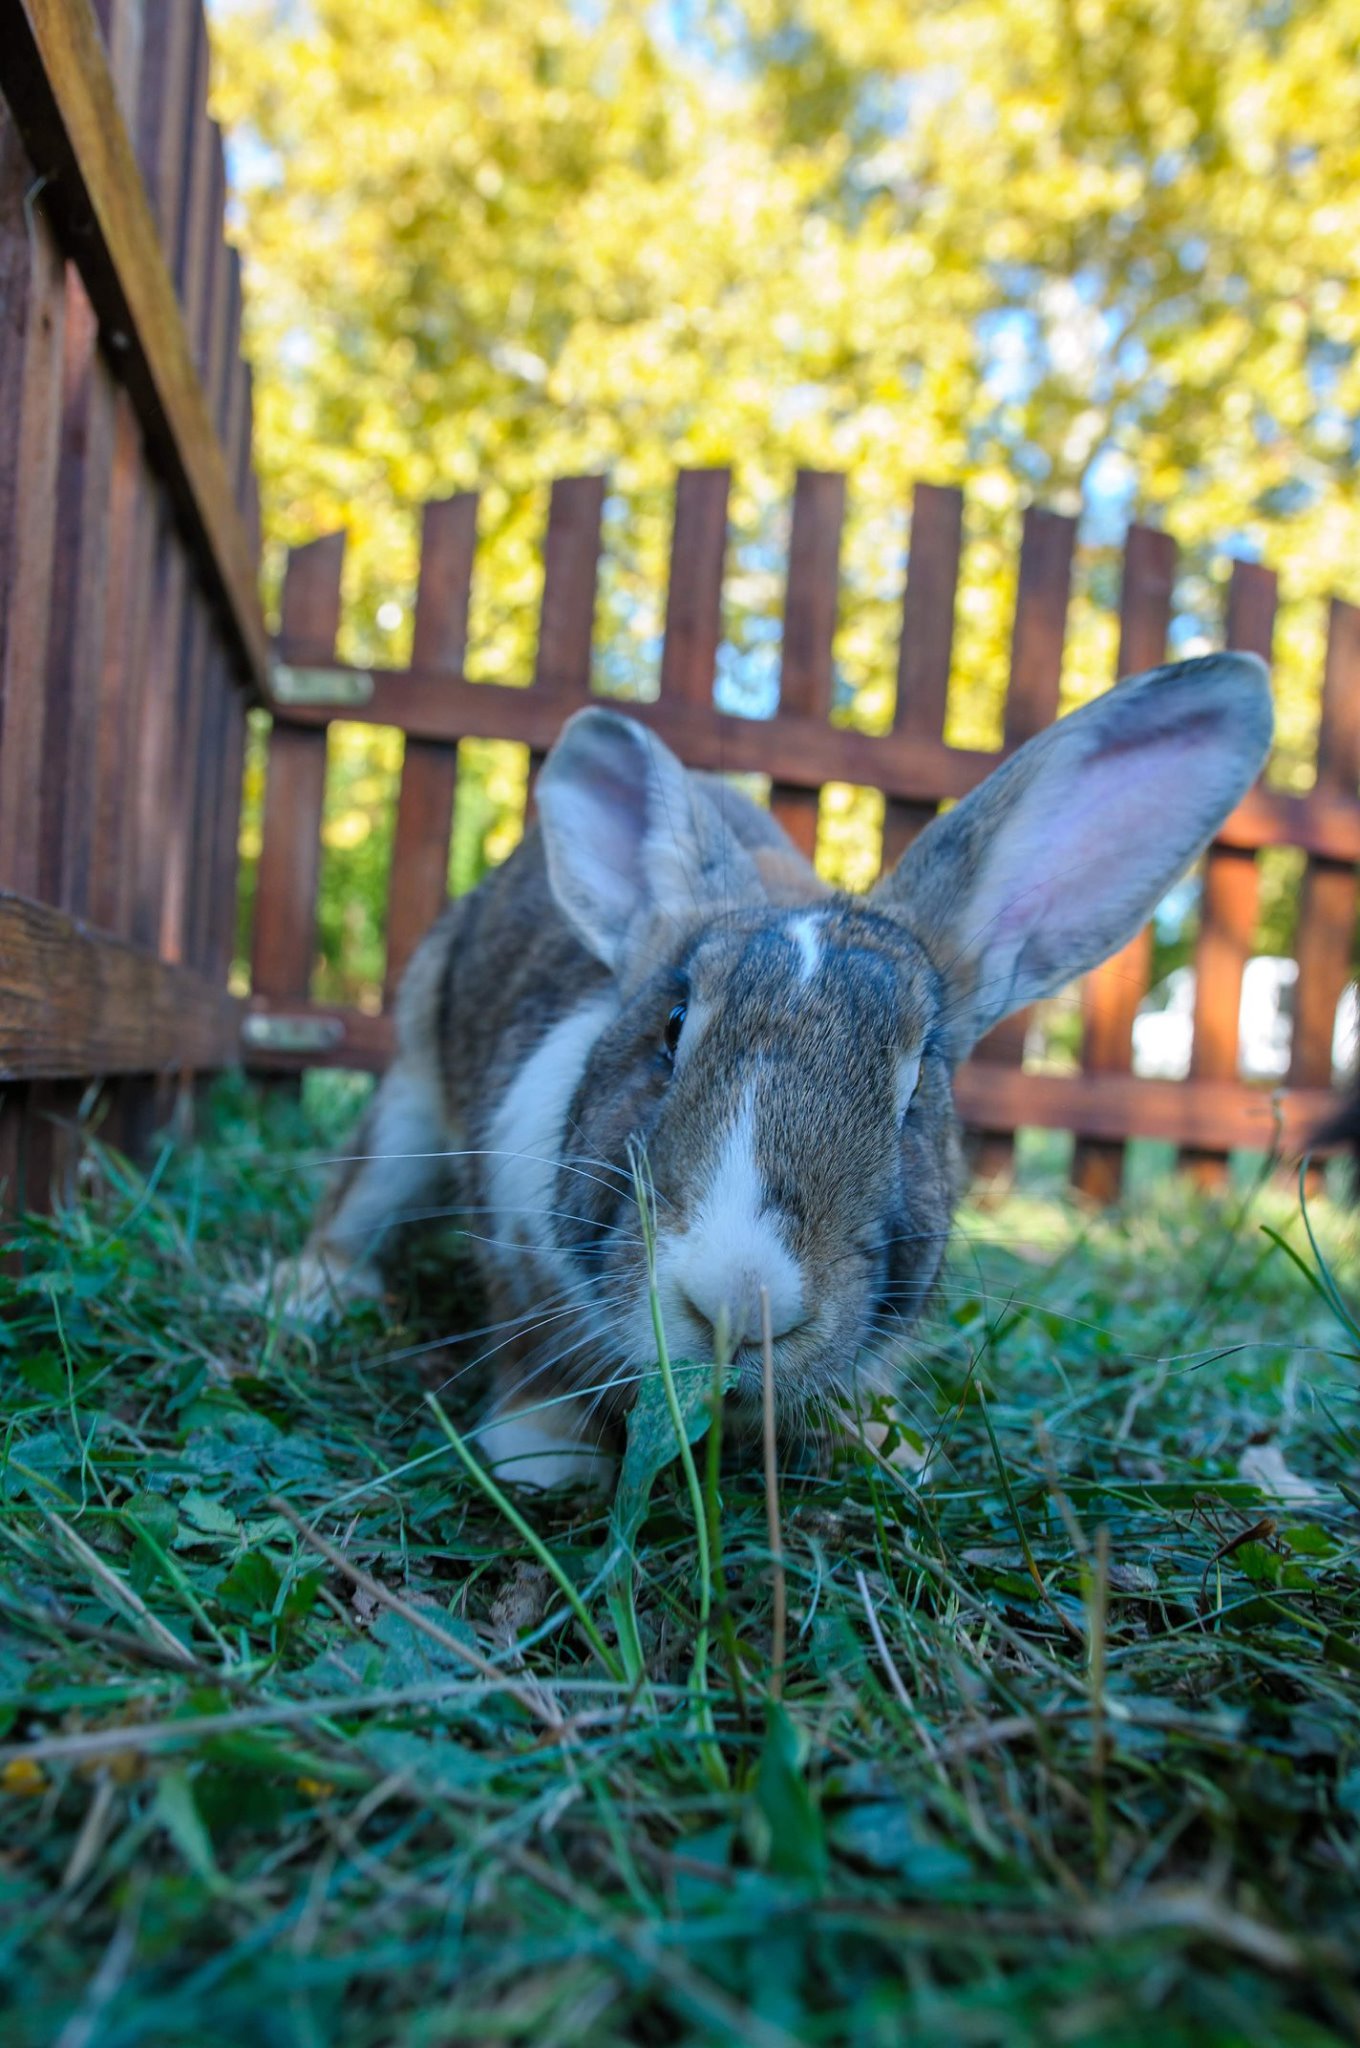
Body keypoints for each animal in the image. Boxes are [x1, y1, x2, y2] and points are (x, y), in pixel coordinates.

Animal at [273, 650, 1272, 1488]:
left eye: (917, 1085)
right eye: (672, 1028)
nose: (736, 1304)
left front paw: (886, 1451)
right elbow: (533, 1358)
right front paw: (543, 1455)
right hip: (410, 1088)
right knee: (358, 1196)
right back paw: (313, 1294)